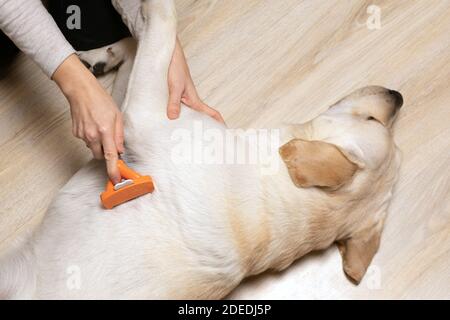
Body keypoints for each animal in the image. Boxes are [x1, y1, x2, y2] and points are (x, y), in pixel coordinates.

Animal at [0, 0, 400, 300]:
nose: (398, 96)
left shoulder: (139, 116)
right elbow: (138, 45)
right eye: (379, 121)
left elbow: (164, 25)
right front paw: (104, 54)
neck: (277, 180)